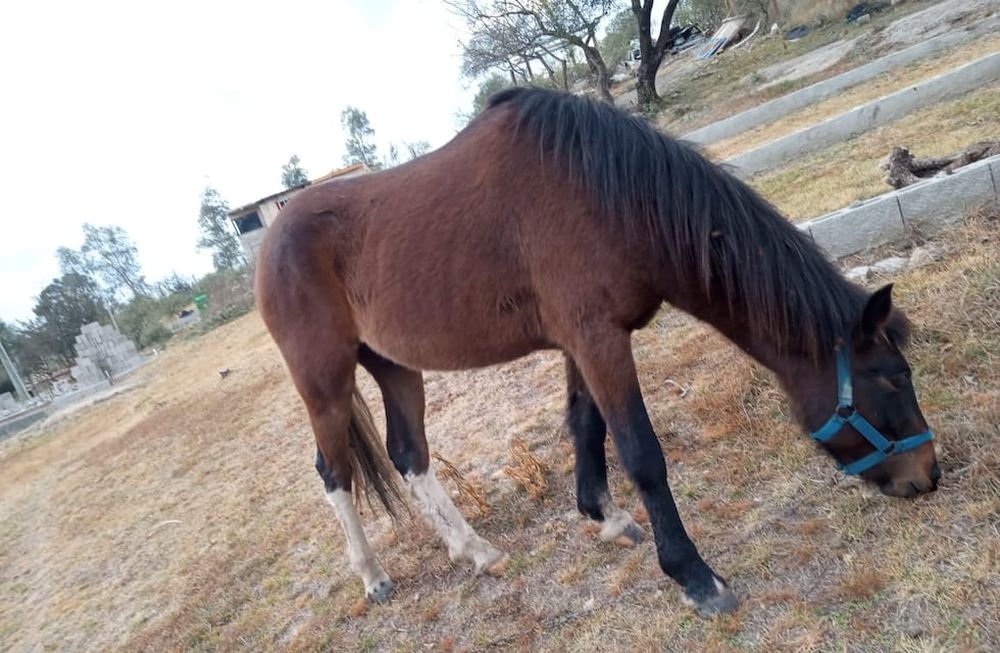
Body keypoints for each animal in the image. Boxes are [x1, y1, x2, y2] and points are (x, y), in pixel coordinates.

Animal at [255, 87, 940, 617]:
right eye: (891, 379)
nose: (927, 476)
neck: (609, 200)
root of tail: (272, 236)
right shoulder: (597, 340)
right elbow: (642, 454)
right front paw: (695, 578)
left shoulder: (583, 343)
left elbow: (585, 425)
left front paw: (604, 518)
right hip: (325, 379)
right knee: (333, 471)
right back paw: (373, 577)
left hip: (395, 366)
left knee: (409, 456)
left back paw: (477, 552)